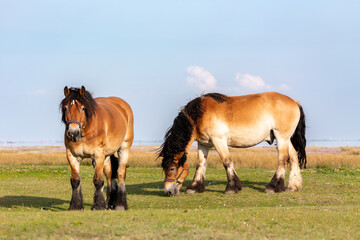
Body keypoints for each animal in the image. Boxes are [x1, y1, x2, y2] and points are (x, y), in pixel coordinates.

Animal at [158, 92, 306, 197]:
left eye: (172, 168)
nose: (168, 192)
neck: (200, 115)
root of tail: (294, 102)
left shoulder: (219, 140)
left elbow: (226, 162)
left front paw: (232, 187)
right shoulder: (203, 144)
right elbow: (200, 164)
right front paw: (194, 187)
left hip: (281, 137)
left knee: (282, 159)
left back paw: (273, 187)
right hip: (286, 139)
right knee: (293, 157)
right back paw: (292, 186)